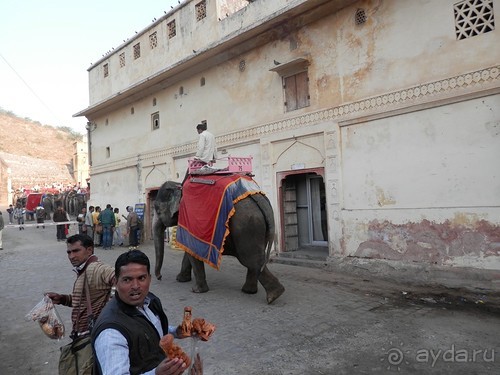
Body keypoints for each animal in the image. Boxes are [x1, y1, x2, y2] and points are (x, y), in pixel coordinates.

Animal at [152, 180, 286, 306]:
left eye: (158, 211)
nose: (159, 277)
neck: (179, 185)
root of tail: (260, 200)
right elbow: (190, 250)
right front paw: (181, 279)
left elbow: (192, 252)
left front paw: (196, 290)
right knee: (256, 260)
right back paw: (251, 291)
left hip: (247, 227)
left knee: (252, 260)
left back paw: (273, 295)